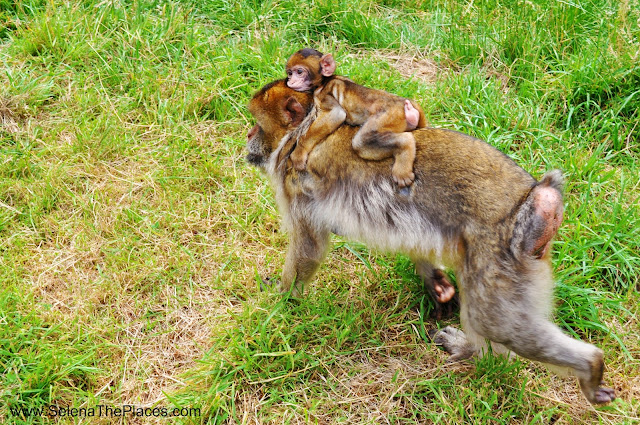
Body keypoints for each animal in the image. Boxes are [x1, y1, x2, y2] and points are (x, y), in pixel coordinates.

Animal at [245, 80, 616, 404]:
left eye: (257, 124)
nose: (247, 135)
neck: (300, 135)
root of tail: (534, 200)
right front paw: (435, 281)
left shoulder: (297, 187)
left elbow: (309, 248)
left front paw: (280, 298)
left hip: (501, 257)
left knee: (495, 321)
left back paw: (587, 366)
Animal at [284, 47, 424, 186]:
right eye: (290, 73)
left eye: (299, 71)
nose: (290, 80)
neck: (324, 81)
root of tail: (408, 104)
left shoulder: (322, 94)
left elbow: (336, 114)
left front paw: (299, 151)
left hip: (391, 114)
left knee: (361, 141)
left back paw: (406, 145)